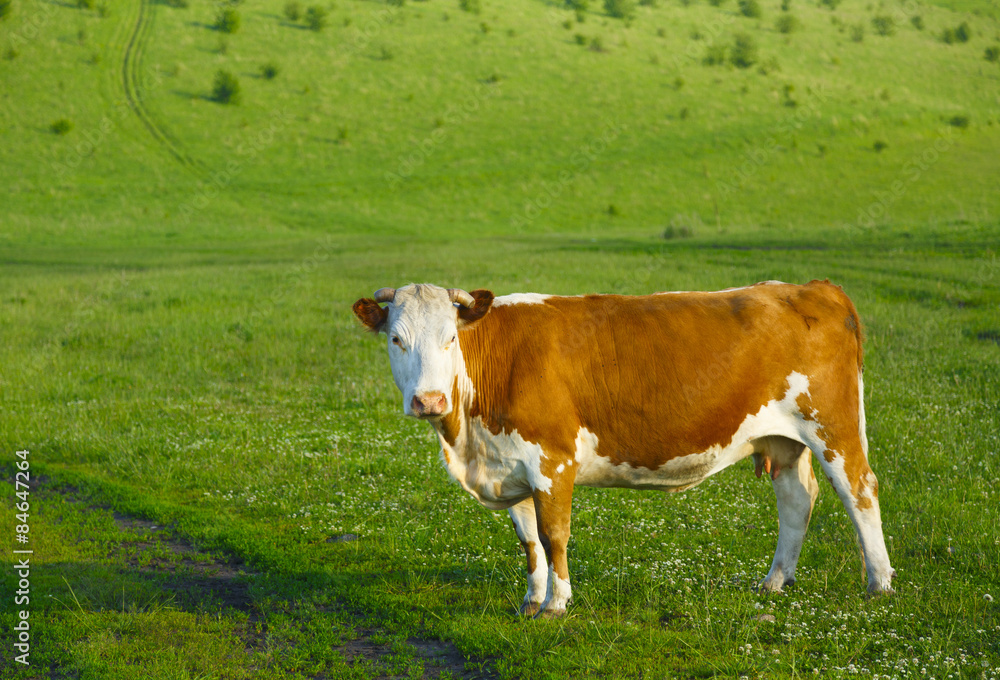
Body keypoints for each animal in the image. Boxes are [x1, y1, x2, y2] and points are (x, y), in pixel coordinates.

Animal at [350, 278, 892, 620]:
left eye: (449, 338)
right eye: (396, 339)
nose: (429, 400)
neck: (469, 441)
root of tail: (812, 288)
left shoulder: (552, 461)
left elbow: (553, 535)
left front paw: (556, 604)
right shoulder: (511, 465)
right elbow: (528, 541)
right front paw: (530, 600)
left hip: (833, 426)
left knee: (860, 491)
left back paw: (880, 583)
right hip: (783, 439)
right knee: (797, 500)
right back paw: (775, 581)